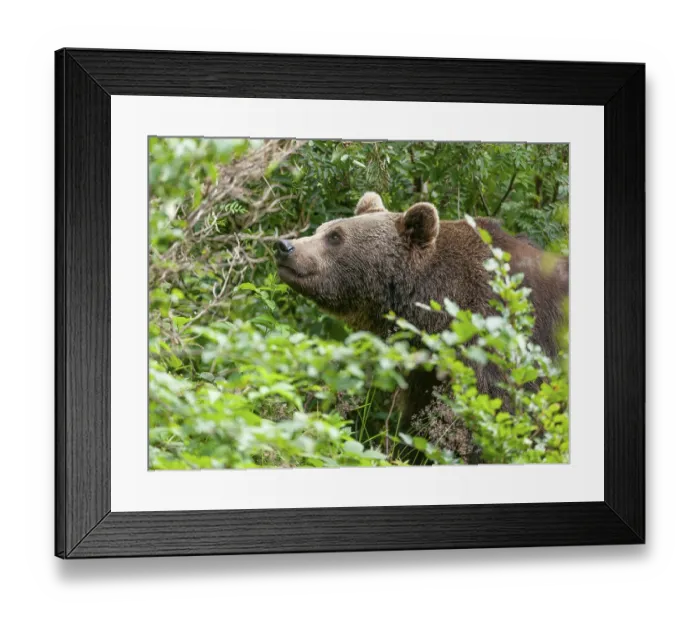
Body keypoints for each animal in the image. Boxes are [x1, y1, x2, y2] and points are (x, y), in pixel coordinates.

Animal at [275, 191, 569, 460]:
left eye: (335, 236)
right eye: (321, 229)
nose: (284, 245)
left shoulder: (503, 345)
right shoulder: (428, 369)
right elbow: (421, 417)